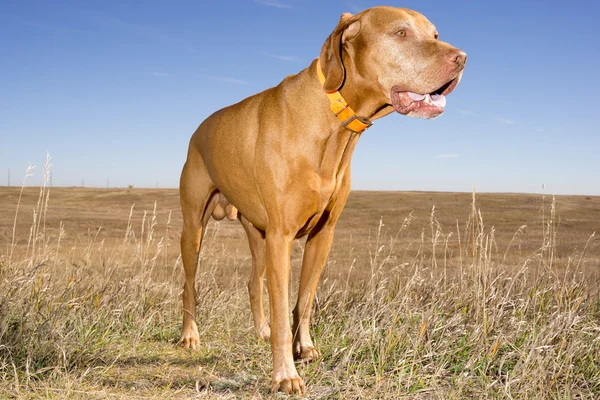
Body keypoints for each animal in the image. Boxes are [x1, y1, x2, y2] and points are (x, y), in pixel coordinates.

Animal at [176, 6, 466, 394]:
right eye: (401, 33)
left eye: (435, 35)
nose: (462, 58)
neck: (333, 119)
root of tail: (199, 128)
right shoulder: (282, 236)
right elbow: (282, 312)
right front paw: (285, 374)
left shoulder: (321, 235)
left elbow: (304, 301)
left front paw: (304, 349)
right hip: (195, 227)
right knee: (189, 284)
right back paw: (190, 336)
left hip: (257, 234)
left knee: (253, 282)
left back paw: (259, 330)